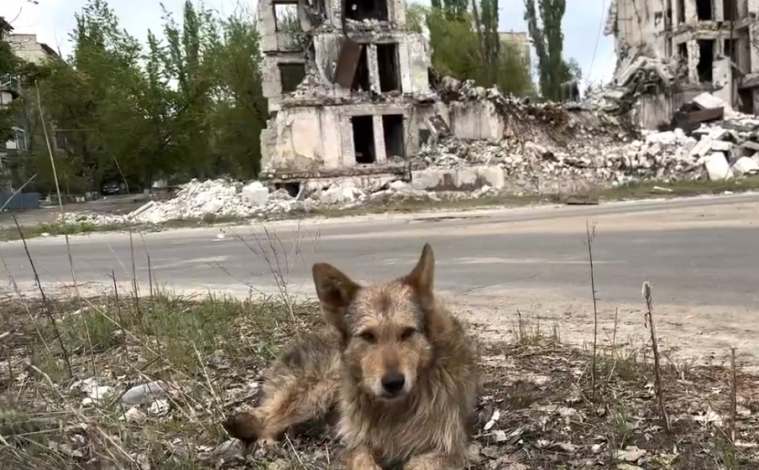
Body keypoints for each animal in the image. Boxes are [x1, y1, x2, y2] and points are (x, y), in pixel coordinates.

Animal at [223, 244, 478, 468]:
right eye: (367, 336)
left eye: (407, 333)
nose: (394, 383)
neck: (395, 409)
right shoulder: (358, 446)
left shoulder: (446, 449)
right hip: (317, 390)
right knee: (267, 416)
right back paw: (263, 440)